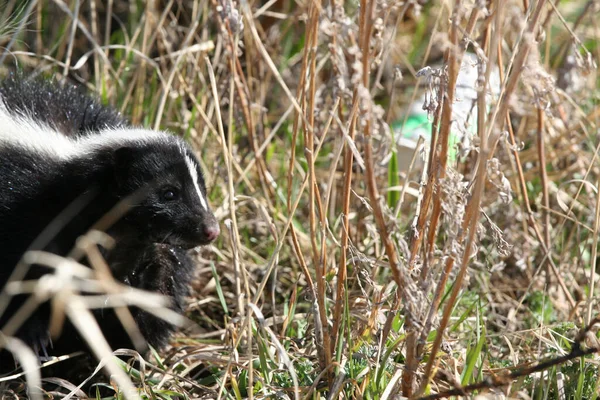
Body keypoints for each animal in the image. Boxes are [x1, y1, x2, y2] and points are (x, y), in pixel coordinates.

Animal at [0, 76, 220, 376]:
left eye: (202, 191)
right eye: (169, 193)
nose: (210, 229)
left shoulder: (147, 255)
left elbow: (152, 300)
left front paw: (128, 357)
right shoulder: (23, 211)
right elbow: (19, 279)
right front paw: (34, 339)